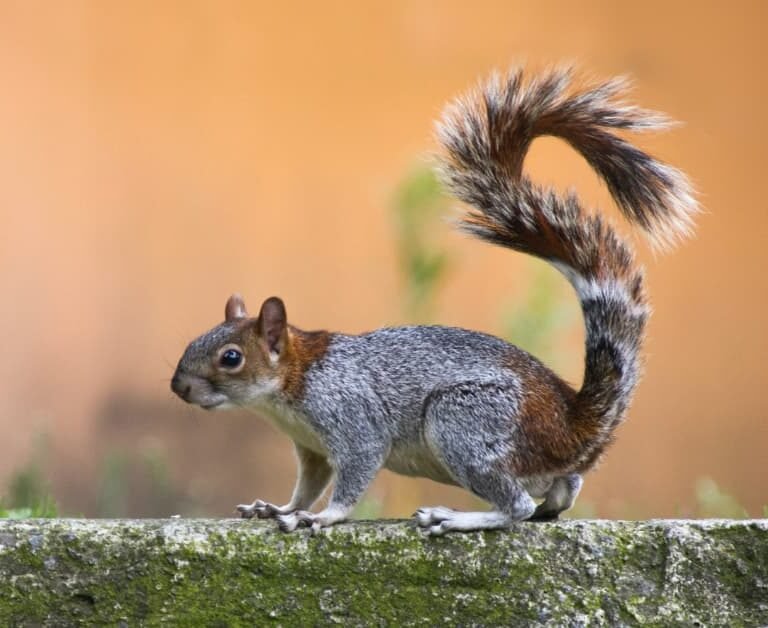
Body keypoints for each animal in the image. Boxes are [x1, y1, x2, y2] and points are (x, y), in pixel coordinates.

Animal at [172, 66, 696, 532]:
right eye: (198, 338)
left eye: (231, 357)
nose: (179, 388)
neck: (292, 383)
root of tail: (572, 428)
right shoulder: (311, 448)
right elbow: (306, 485)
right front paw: (278, 509)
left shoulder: (352, 421)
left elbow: (352, 476)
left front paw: (323, 517)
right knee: (560, 491)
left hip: (464, 422)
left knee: (518, 506)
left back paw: (457, 518)